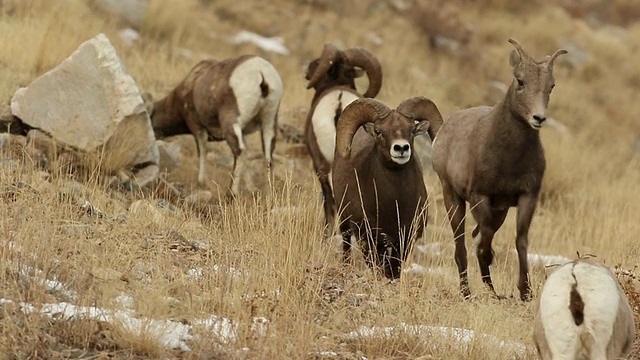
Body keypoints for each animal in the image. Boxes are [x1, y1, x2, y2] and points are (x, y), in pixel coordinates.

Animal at [149, 56, 284, 197]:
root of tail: (261, 74)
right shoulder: (243, 132)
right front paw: (252, 188)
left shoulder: (198, 129)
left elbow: (202, 151)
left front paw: (201, 182)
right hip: (268, 124)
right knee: (267, 157)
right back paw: (268, 193)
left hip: (230, 124)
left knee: (240, 152)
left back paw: (231, 193)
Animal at [332, 95, 442, 278]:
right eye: (378, 131)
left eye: (412, 129)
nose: (401, 148)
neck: (393, 204)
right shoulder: (369, 239)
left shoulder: (404, 240)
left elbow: (393, 269)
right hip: (344, 220)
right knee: (346, 243)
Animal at [436, 38, 564, 300]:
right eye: (520, 81)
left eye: (551, 86)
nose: (538, 118)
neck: (509, 159)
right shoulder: (480, 198)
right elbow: (483, 242)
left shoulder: (526, 198)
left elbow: (520, 241)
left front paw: (525, 292)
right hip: (452, 198)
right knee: (460, 245)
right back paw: (467, 292)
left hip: (500, 211)